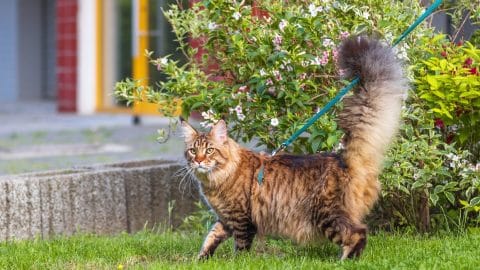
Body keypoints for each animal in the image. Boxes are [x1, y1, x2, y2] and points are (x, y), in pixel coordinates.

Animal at [178, 35, 406, 260]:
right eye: (193, 151)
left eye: (209, 150)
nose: (198, 160)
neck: (216, 179)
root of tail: (343, 159)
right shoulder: (224, 219)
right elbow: (210, 238)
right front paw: (200, 260)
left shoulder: (242, 219)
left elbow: (240, 248)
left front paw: (236, 262)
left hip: (327, 215)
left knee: (358, 233)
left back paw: (343, 261)